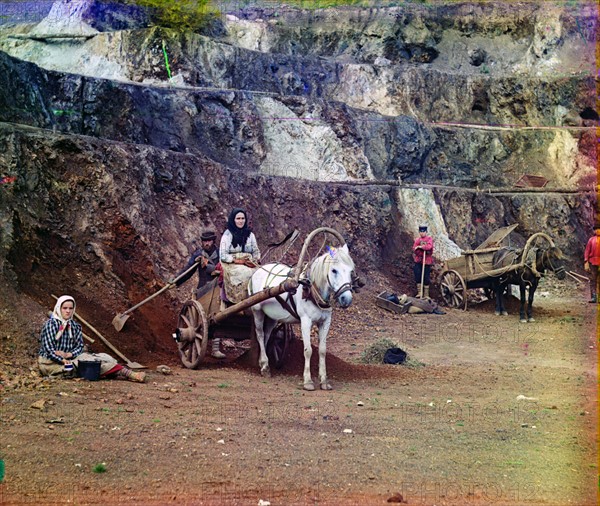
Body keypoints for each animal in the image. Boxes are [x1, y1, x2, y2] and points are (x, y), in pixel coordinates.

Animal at [250, 243, 356, 390]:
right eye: (334, 270)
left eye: (351, 271)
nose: (347, 299)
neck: (311, 290)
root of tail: (258, 270)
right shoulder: (305, 321)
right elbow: (308, 350)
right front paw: (308, 381)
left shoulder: (325, 322)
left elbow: (322, 350)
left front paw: (324, 380)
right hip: (257, 311)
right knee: (260, 334)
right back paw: (265, 367)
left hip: (272, 316)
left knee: (266, 334)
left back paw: (263, 363)